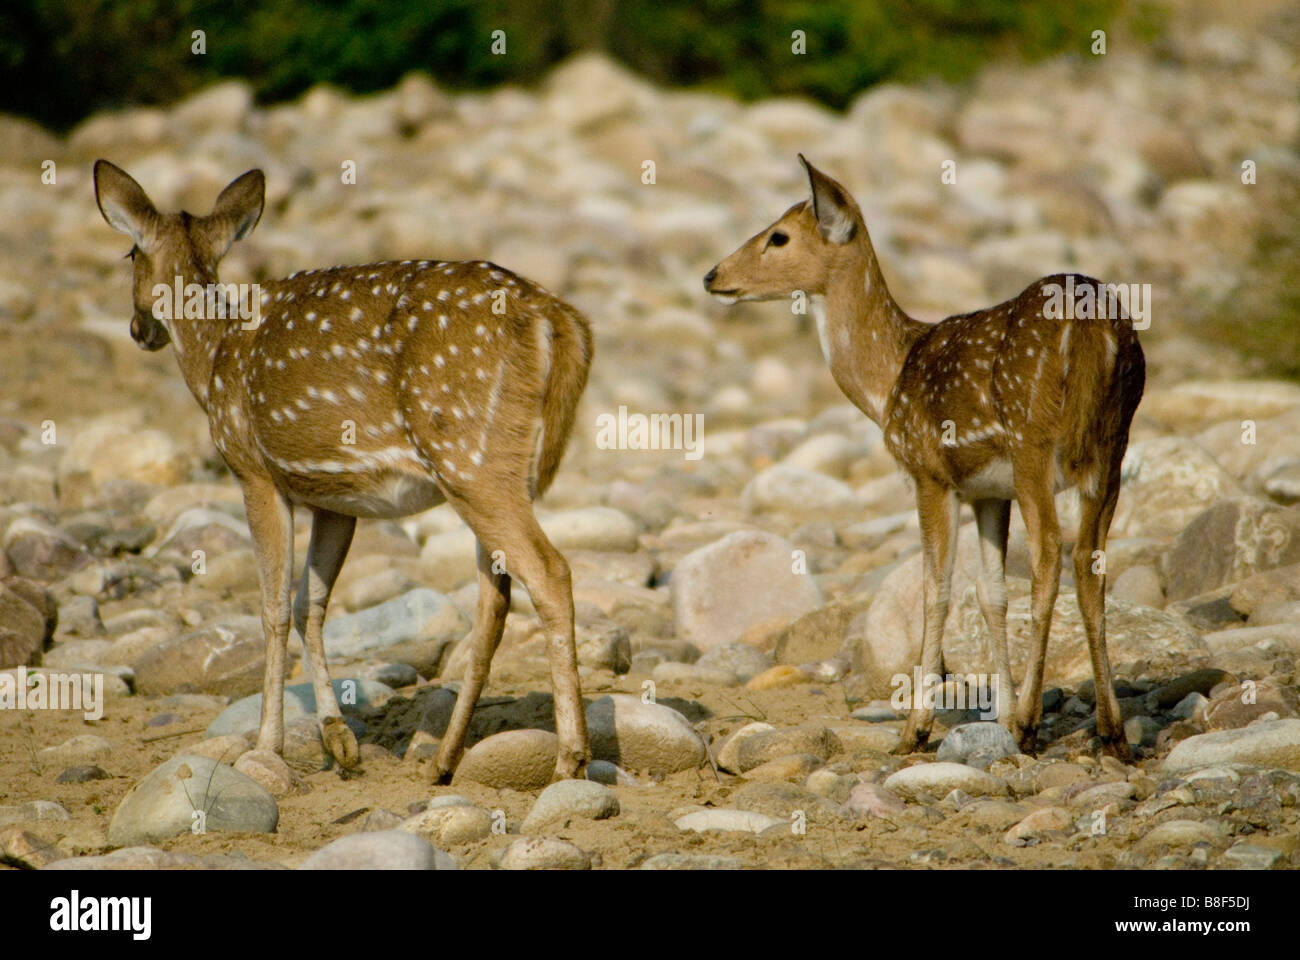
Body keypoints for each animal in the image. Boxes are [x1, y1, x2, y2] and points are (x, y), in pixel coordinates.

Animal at [93, 160, 592, 782]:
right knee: (494, 599)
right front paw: (338, 740)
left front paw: (270, 745)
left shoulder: (253, 469)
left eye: (128, 253)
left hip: (468, 454)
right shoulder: (336, 499)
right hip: (494, 467)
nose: (139, 330)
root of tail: (559, 320)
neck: (213, 359)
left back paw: (570, 760)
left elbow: (273, 608)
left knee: (549, 572)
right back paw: (443, 760)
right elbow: (312, 604)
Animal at [705, 156, 1144, 761]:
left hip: (1032, 441)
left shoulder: (930, 471)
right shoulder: (987, 490)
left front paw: (917, 728)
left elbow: (935, 592)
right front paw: (997, 716)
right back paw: (1112, 732)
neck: (888, 382)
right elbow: (989, 594)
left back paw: (1033, 723)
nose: (712, 275)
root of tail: (1093, 330)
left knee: (1050, 557)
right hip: (1112, 448)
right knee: (1089, 563)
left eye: (779, 236)